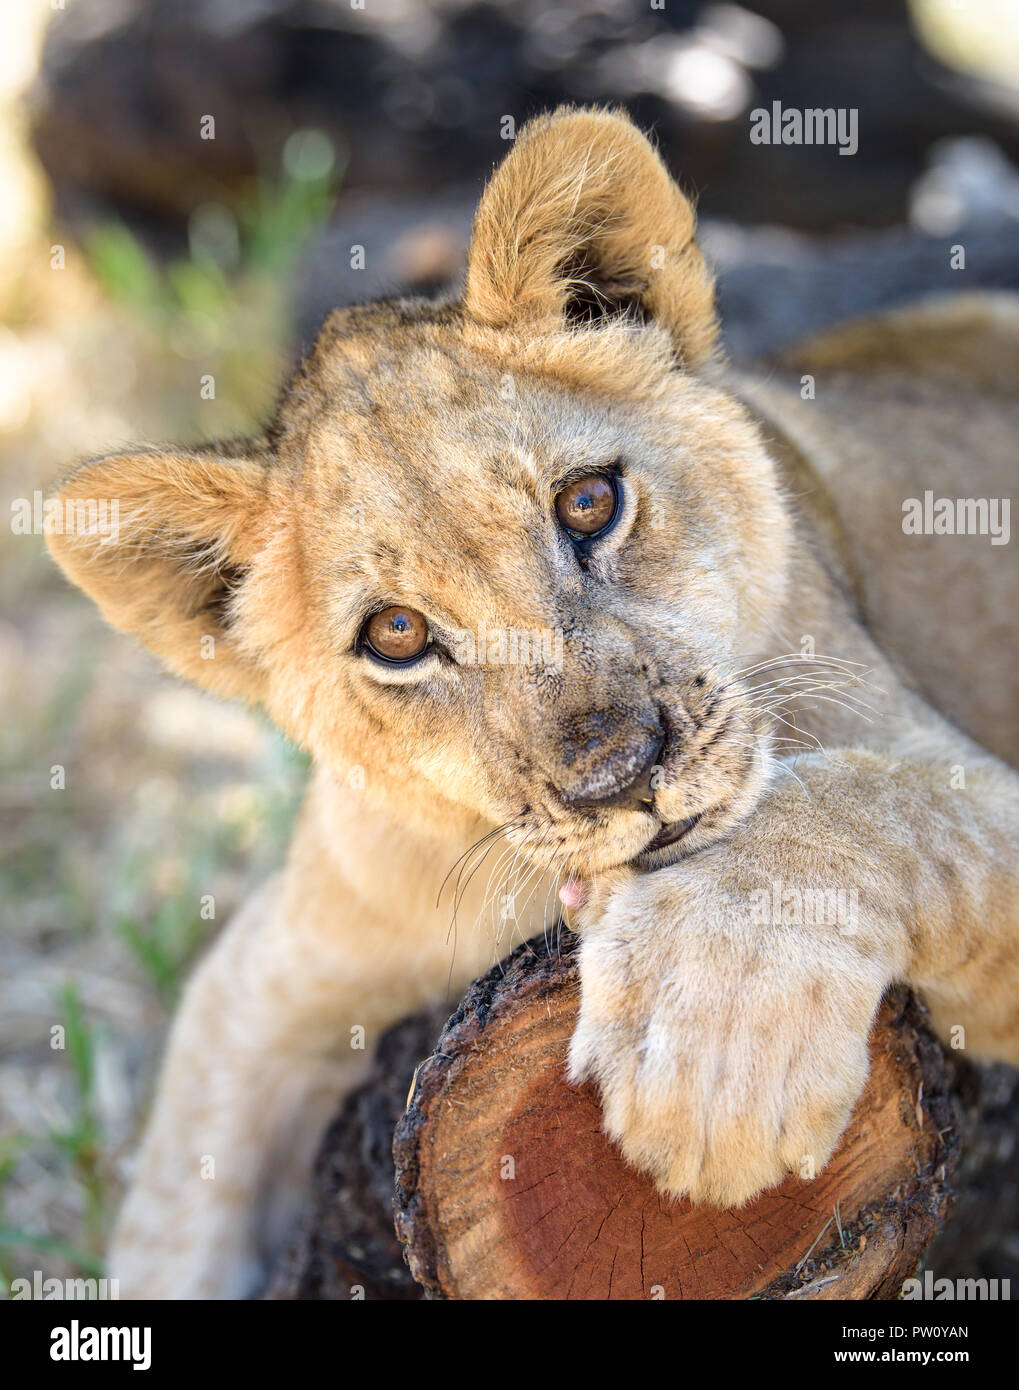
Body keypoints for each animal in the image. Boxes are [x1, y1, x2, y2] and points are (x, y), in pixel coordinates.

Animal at [46, 108, 1019, 1299]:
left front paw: (709, 1056)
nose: (620, 776)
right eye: (397, 634)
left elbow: (864, 804)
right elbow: (171, 1218)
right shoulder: (274, 966)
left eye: (588, 502)